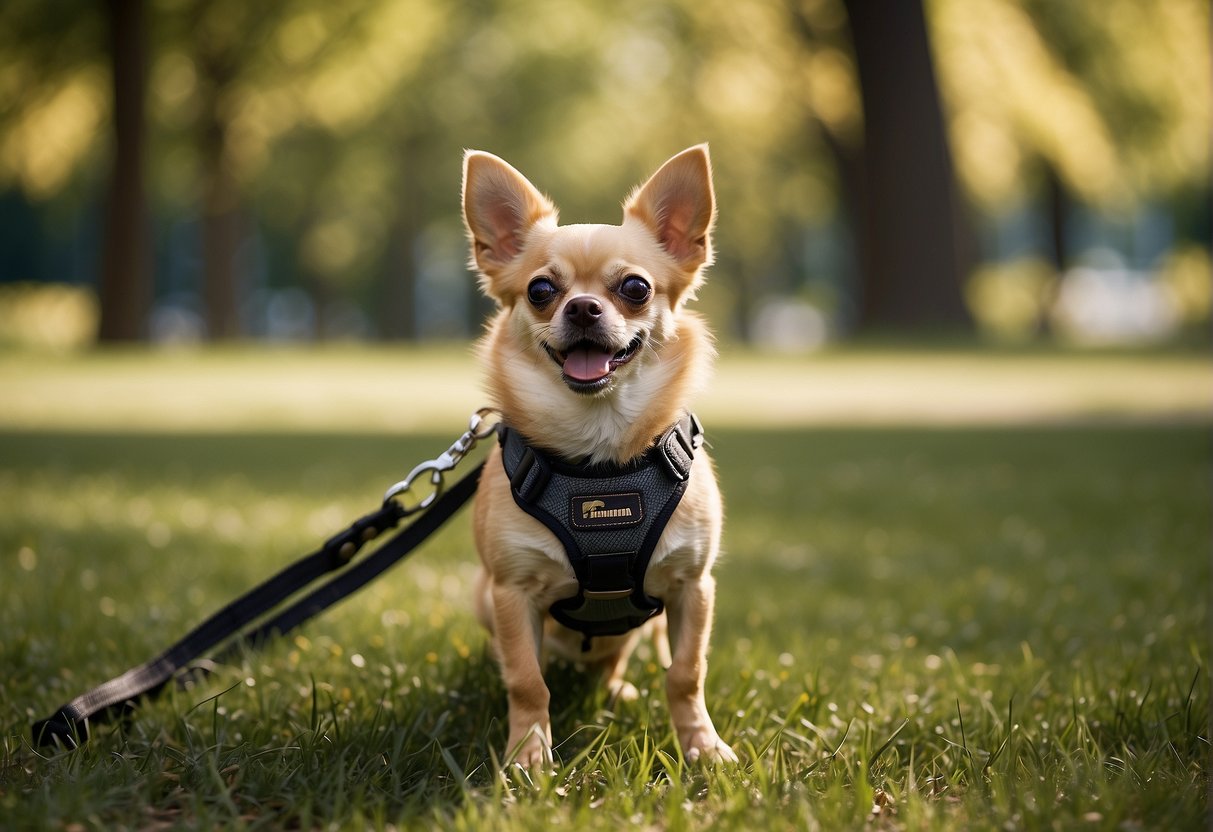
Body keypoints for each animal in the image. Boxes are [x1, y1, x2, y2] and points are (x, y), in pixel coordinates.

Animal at [458, 143, 732, 771]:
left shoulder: (693, 587)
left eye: (635, 288)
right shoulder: (511, 592)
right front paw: (528, 759)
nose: (583, 307)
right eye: (540, 290)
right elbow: (527, 682)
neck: (599, 452)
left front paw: (702, 748)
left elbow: (687, 673)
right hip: (484, 598)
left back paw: (614, 691)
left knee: (613, 661)